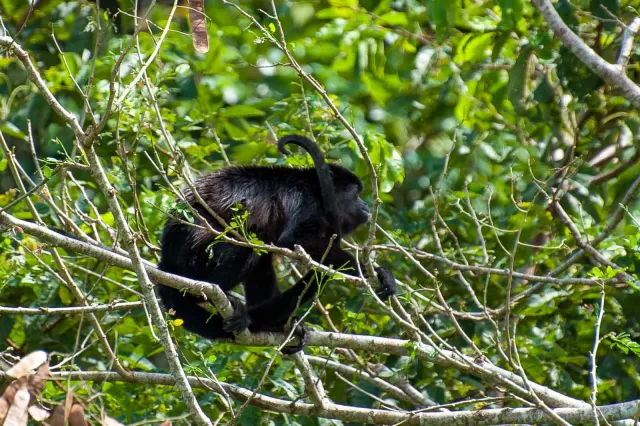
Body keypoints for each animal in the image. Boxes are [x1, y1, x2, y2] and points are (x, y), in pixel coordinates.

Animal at [157, 136, 396, 352]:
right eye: (356, 193)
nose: (366, 204)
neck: (317, 190)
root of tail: (166, 262)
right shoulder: (305, 200)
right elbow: (297, 240)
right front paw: (368, 271)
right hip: (194, 263)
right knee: (247, 245)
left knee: (261, 252)